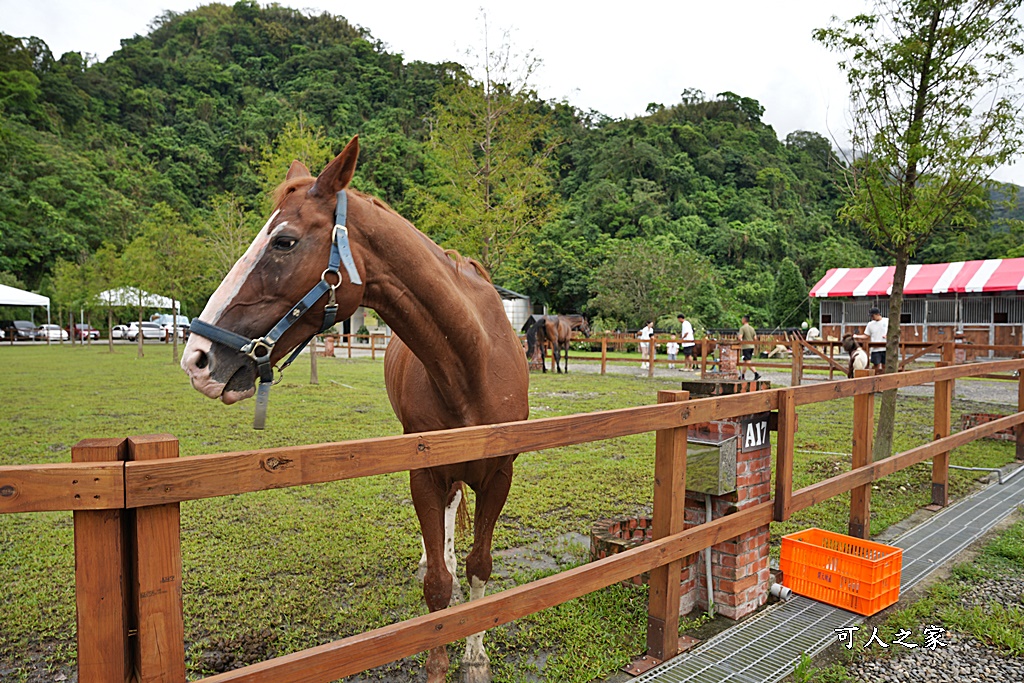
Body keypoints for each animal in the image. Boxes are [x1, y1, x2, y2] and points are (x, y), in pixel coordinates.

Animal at [181, 136, 528, 679]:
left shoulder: (499, 475)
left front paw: (475, 658)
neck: (472, 363)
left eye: (283, 242)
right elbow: (438, 585)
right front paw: (438, 658)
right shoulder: (424, 472)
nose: (197, 359)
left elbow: (480, 566)